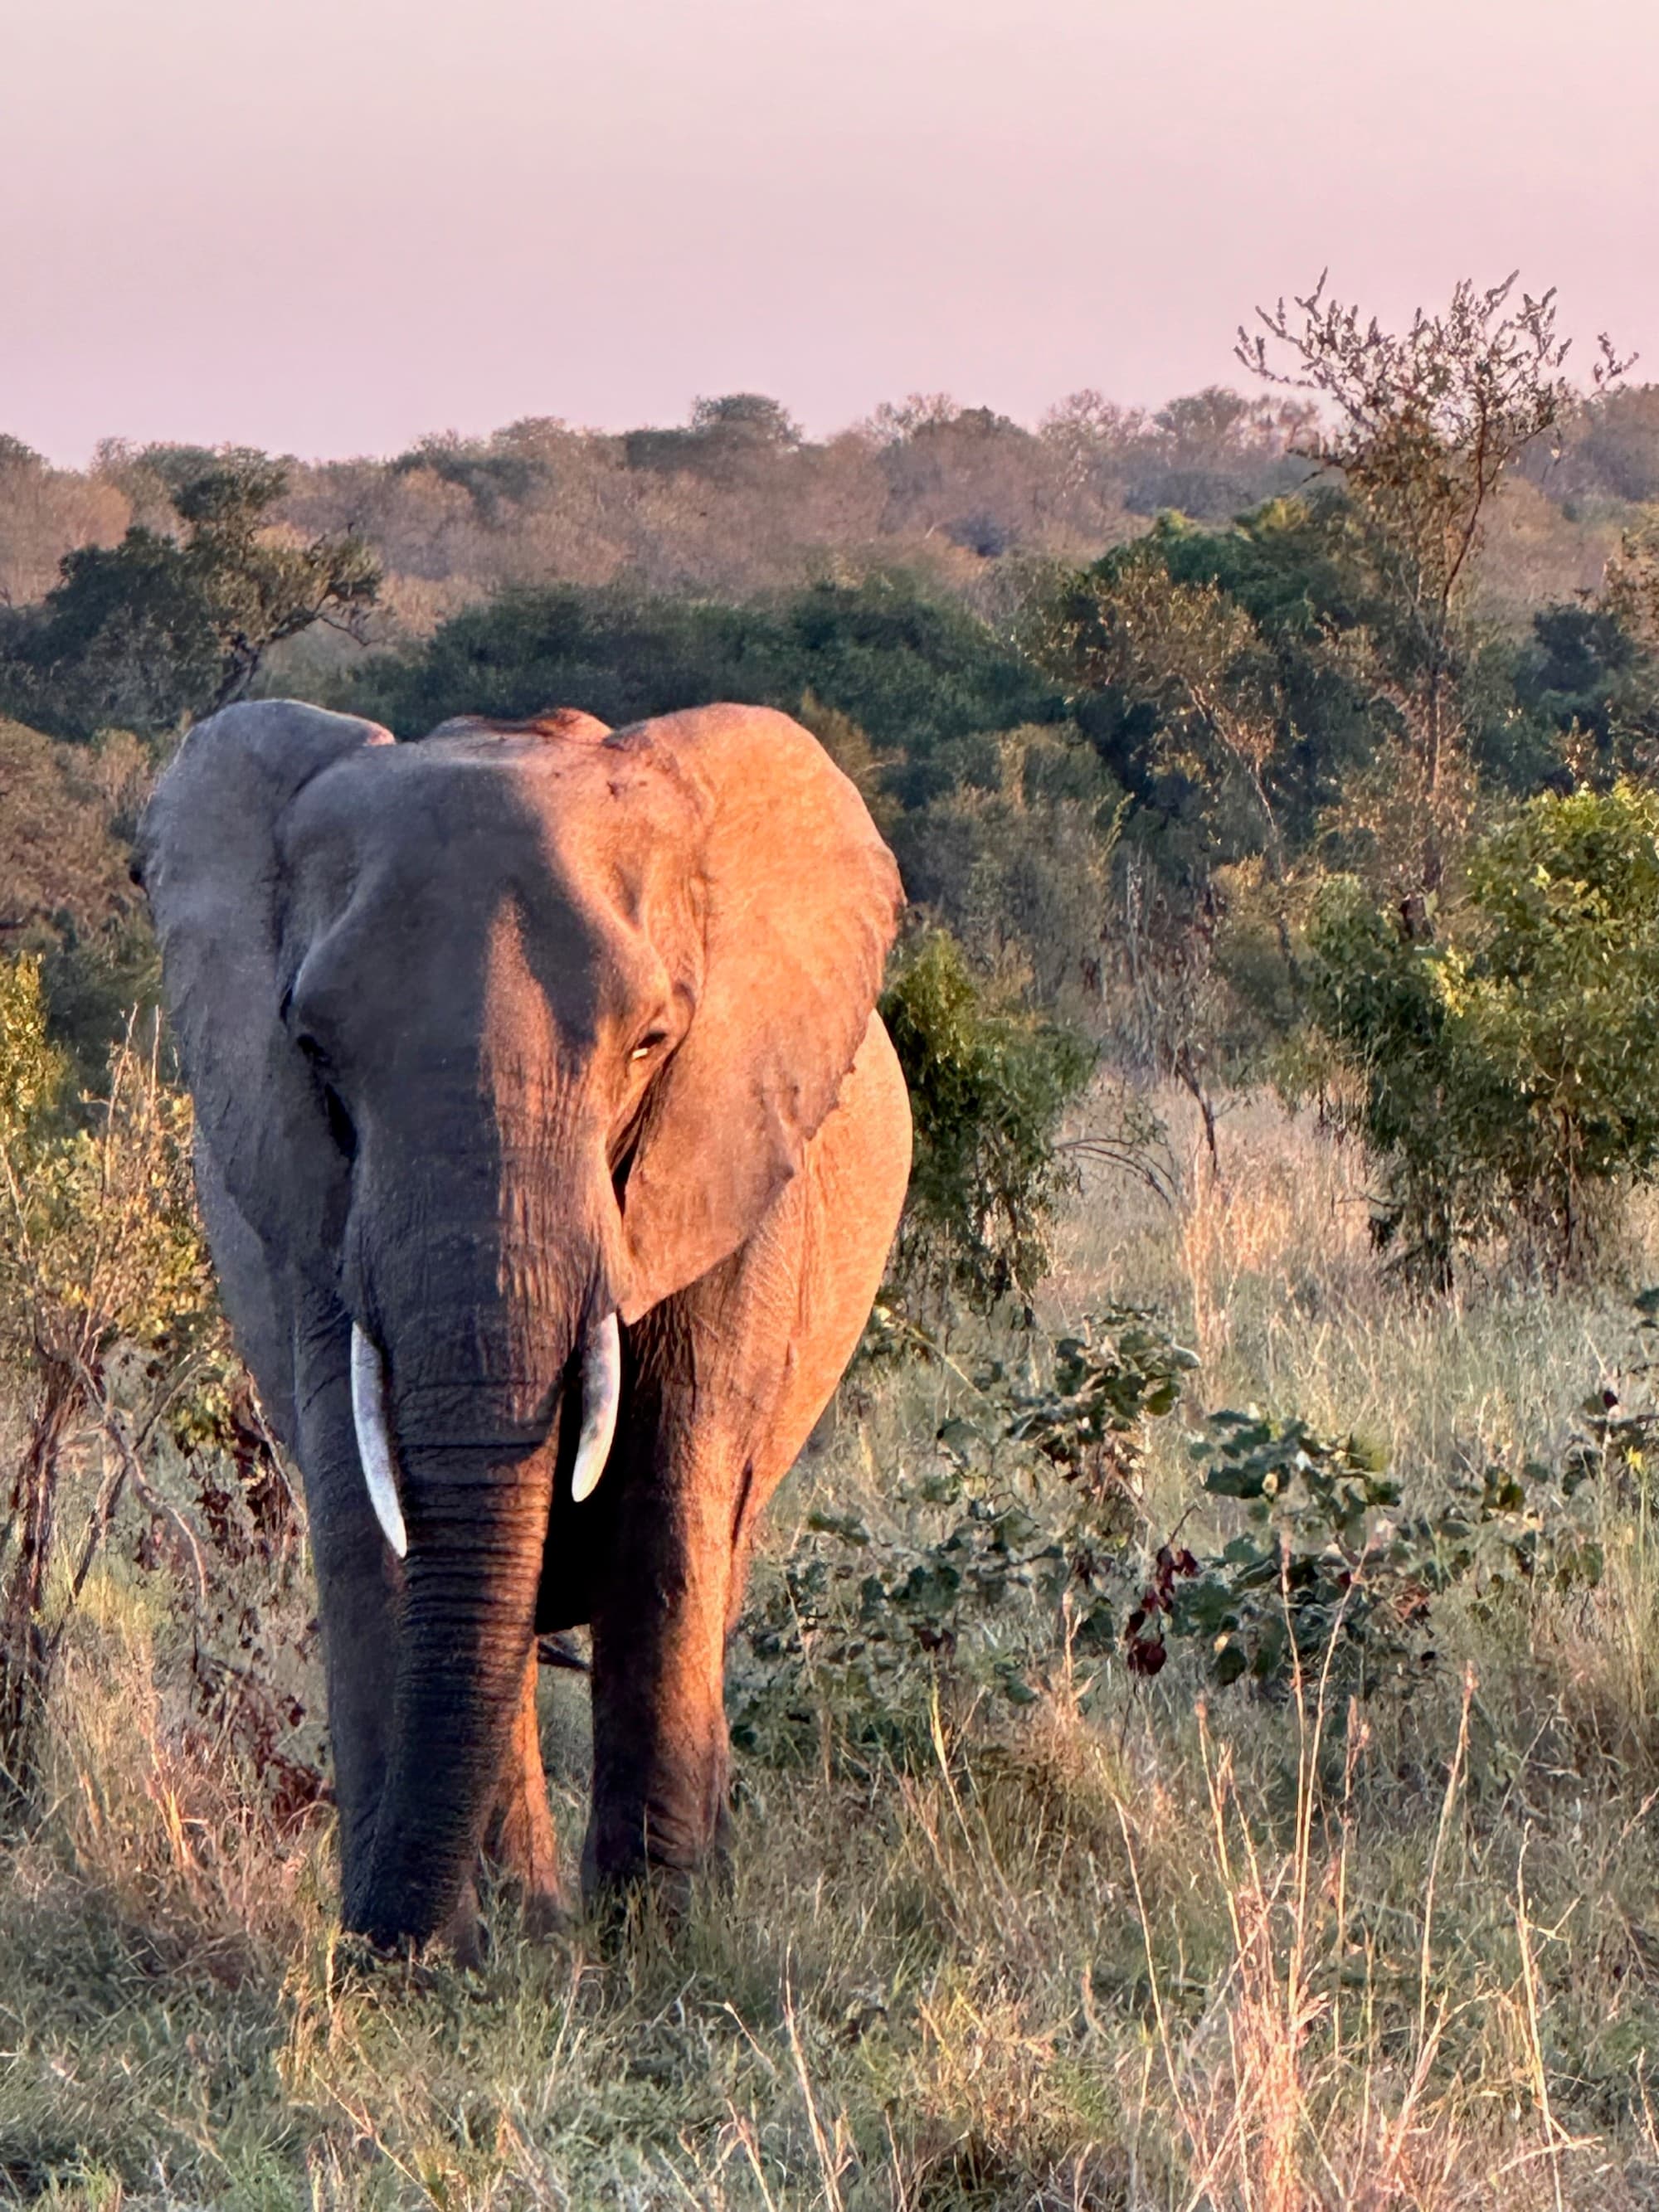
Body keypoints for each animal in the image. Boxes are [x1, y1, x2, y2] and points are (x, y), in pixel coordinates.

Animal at [135, 697, 911, 1955]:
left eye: (650, 1042)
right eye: (313, 1052)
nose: (373, 1944)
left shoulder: (731, 1168)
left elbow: (670, 1504)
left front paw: (655, 1941)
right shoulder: (314, 1209)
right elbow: (370, 1515)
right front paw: (471, 1954)